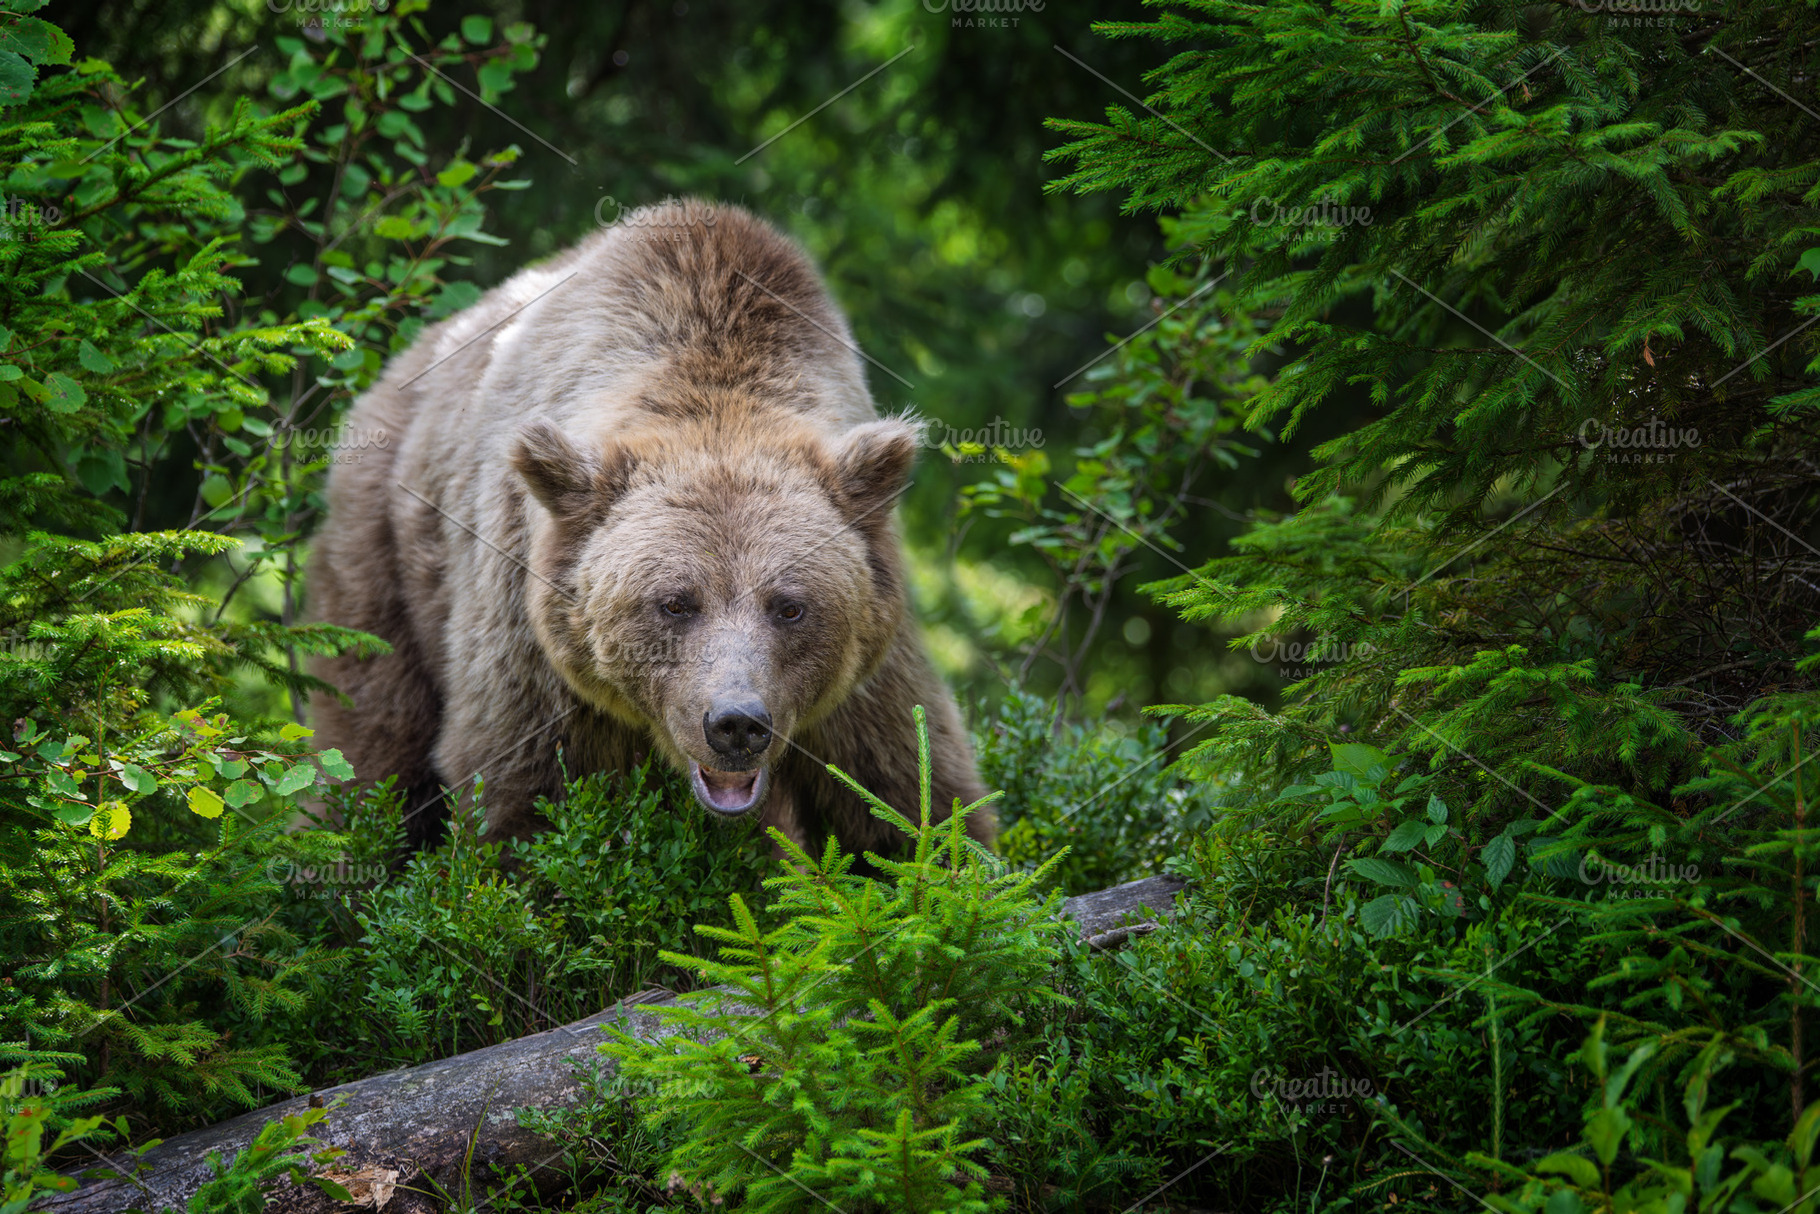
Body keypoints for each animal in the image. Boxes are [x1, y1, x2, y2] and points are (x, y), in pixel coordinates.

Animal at [306, 198, 994, 858]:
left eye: (791, 606)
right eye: (675, 603)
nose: (737, 723)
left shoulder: (865, 682)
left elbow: (913, 800)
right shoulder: (532, 650)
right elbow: (519, 801)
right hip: (384, 555)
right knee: (370, 741)